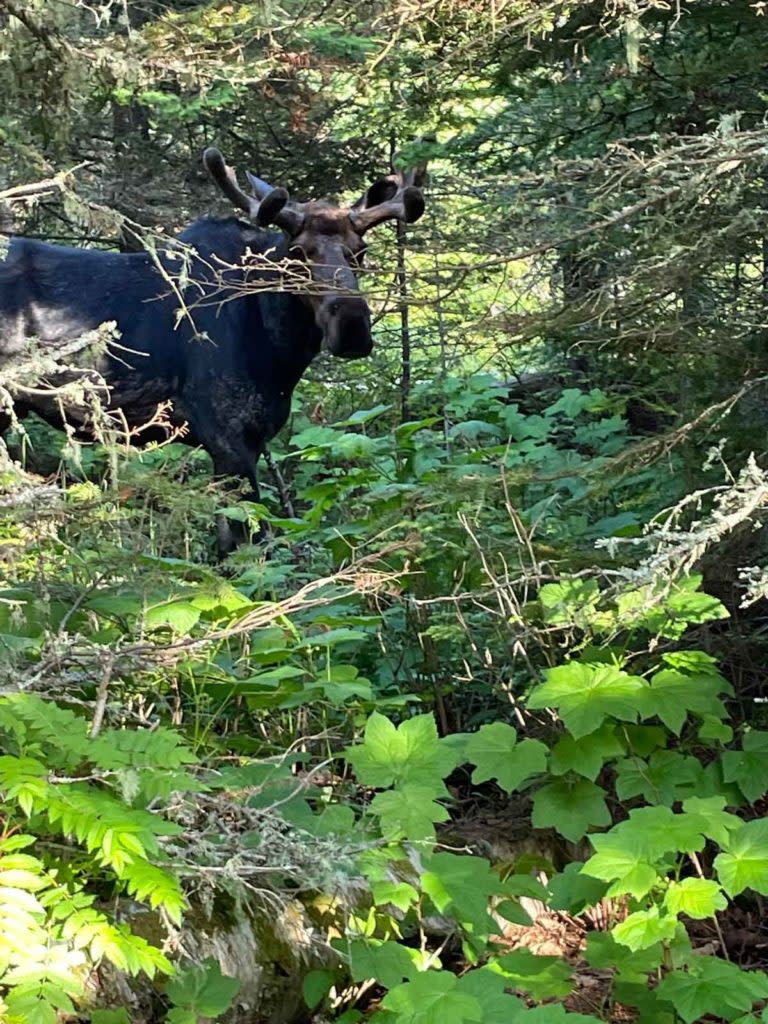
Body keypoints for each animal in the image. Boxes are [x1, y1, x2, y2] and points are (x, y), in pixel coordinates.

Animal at [0, 147, 428, 548]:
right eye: (297, 252)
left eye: (361, 251)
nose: (353, 326)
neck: (278, 348)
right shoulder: (229, 440)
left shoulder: (246, 443)